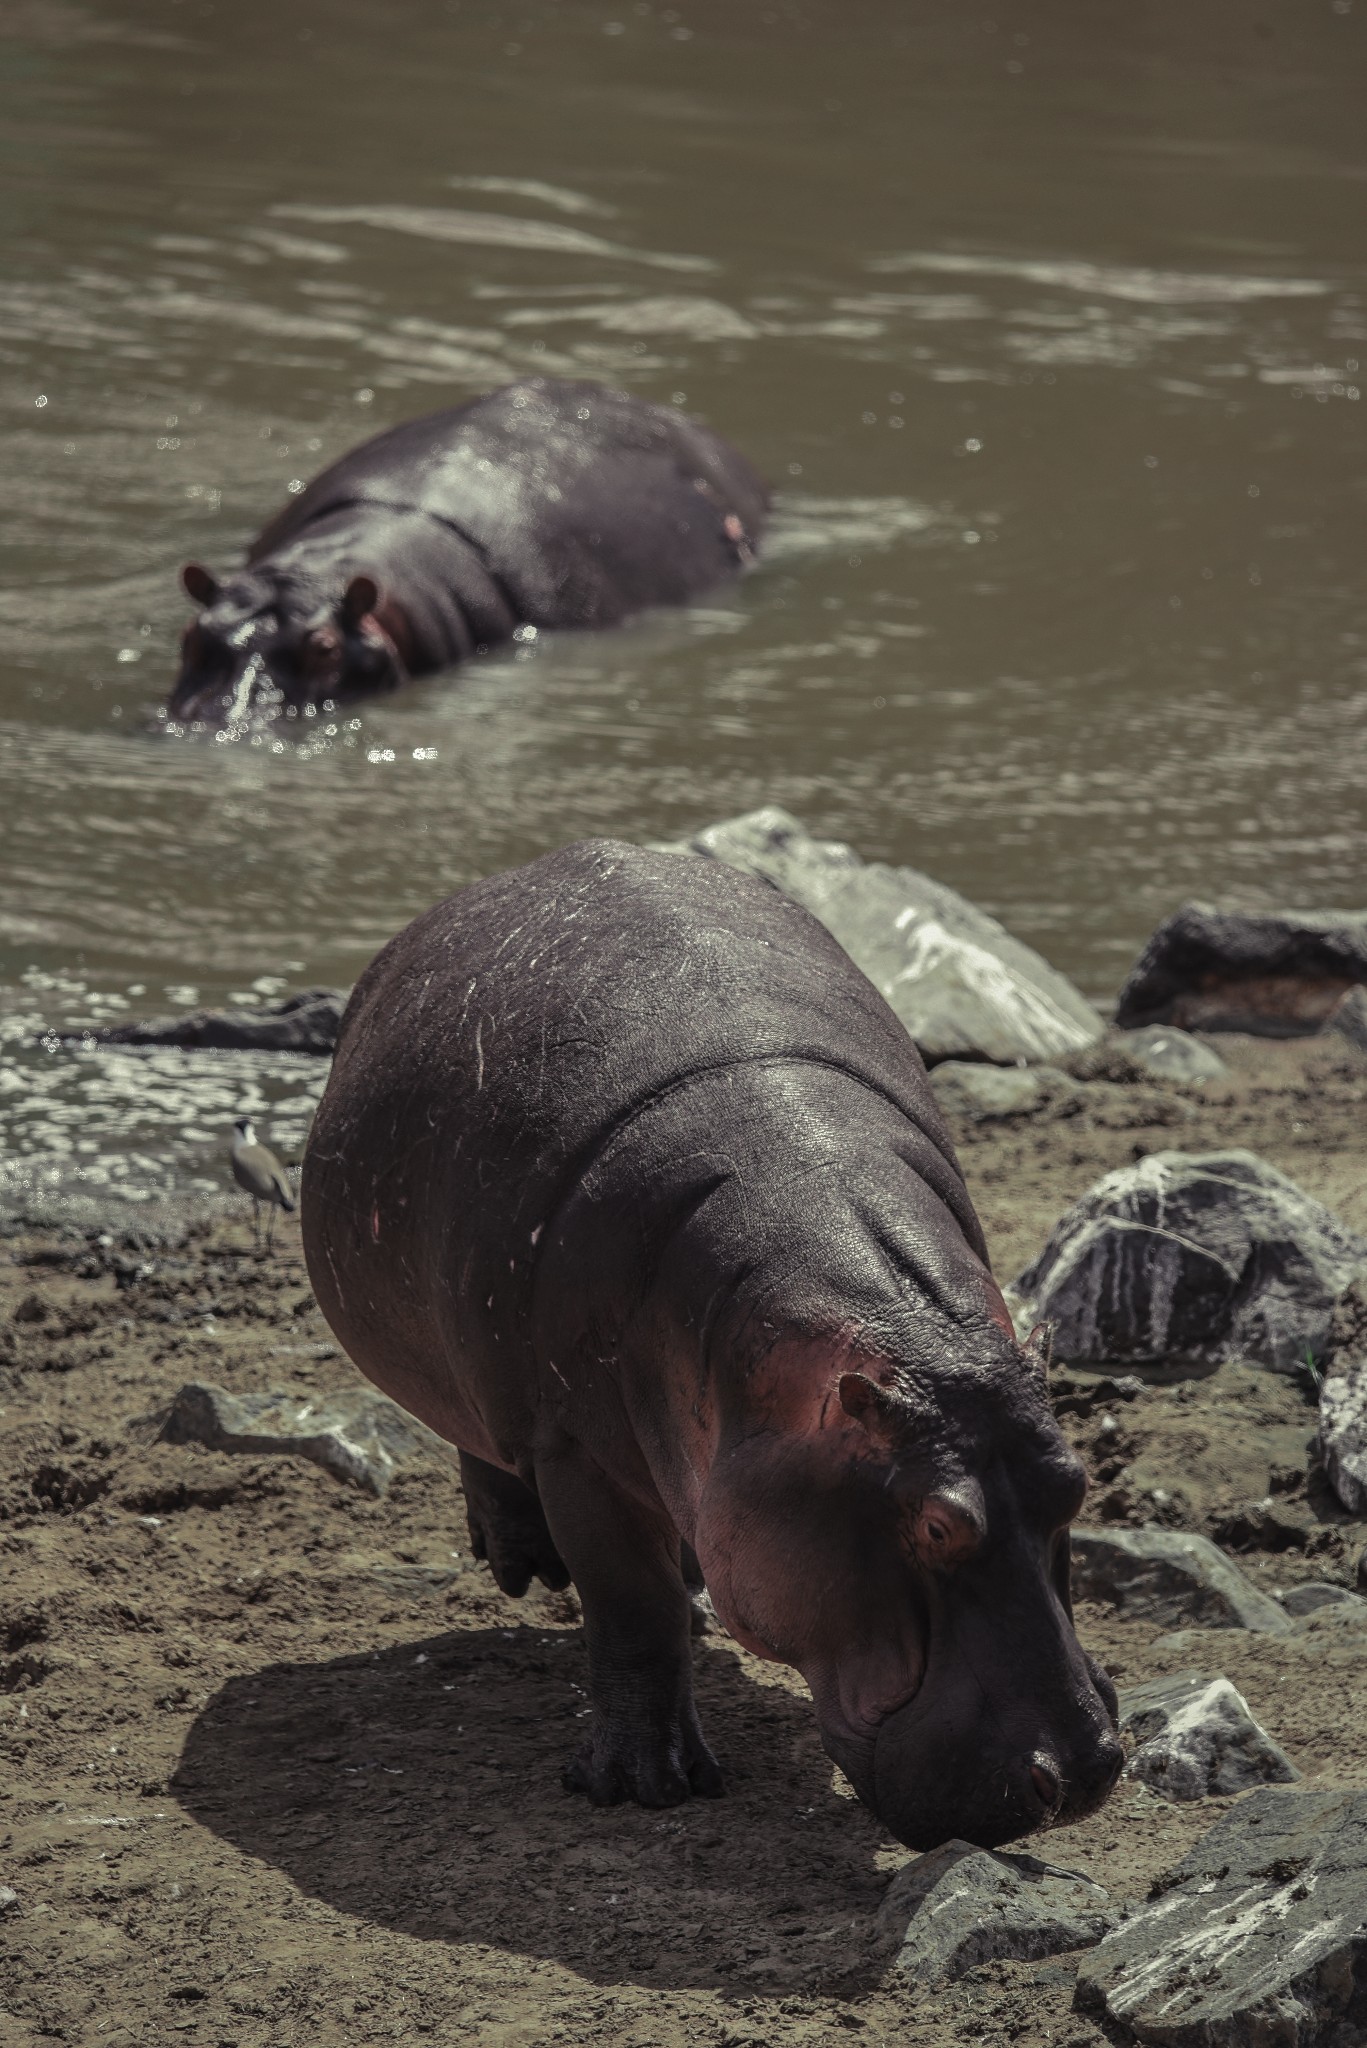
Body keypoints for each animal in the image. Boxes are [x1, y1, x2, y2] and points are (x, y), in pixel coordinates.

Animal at [301, 839, 1123, 1851]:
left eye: (1076, 1486)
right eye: (937, 1524)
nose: (1081, 1774)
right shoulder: (573, 1448)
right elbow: (632, 1608)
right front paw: (642, 1786)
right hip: (480, 1364)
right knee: (476, 1432)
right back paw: (522, 1561)